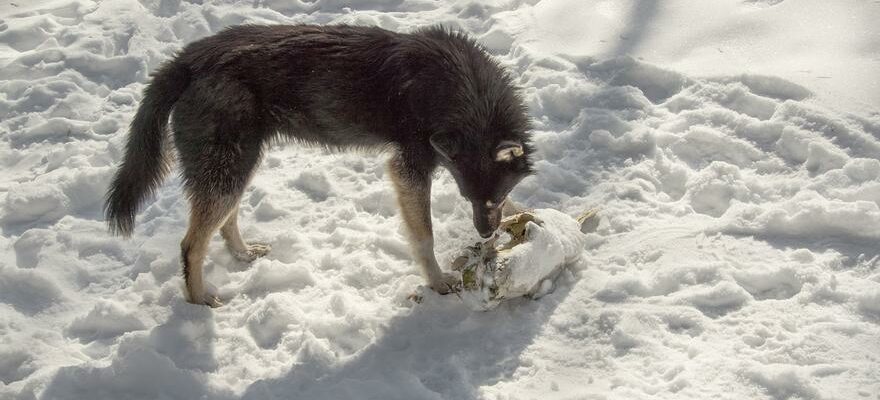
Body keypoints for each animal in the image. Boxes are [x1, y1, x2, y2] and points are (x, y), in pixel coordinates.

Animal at [103, 24, 528, 306]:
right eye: (467, 198)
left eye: (492, 198)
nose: (487, 234)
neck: (460, 90)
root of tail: (187, 59)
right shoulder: (409, 171)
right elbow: (425, 238)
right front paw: (438, 282)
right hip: (228, 170)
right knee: (191, 244)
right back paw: (199, 299)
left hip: (237, 166)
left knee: (224, 223)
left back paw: (243, 255)